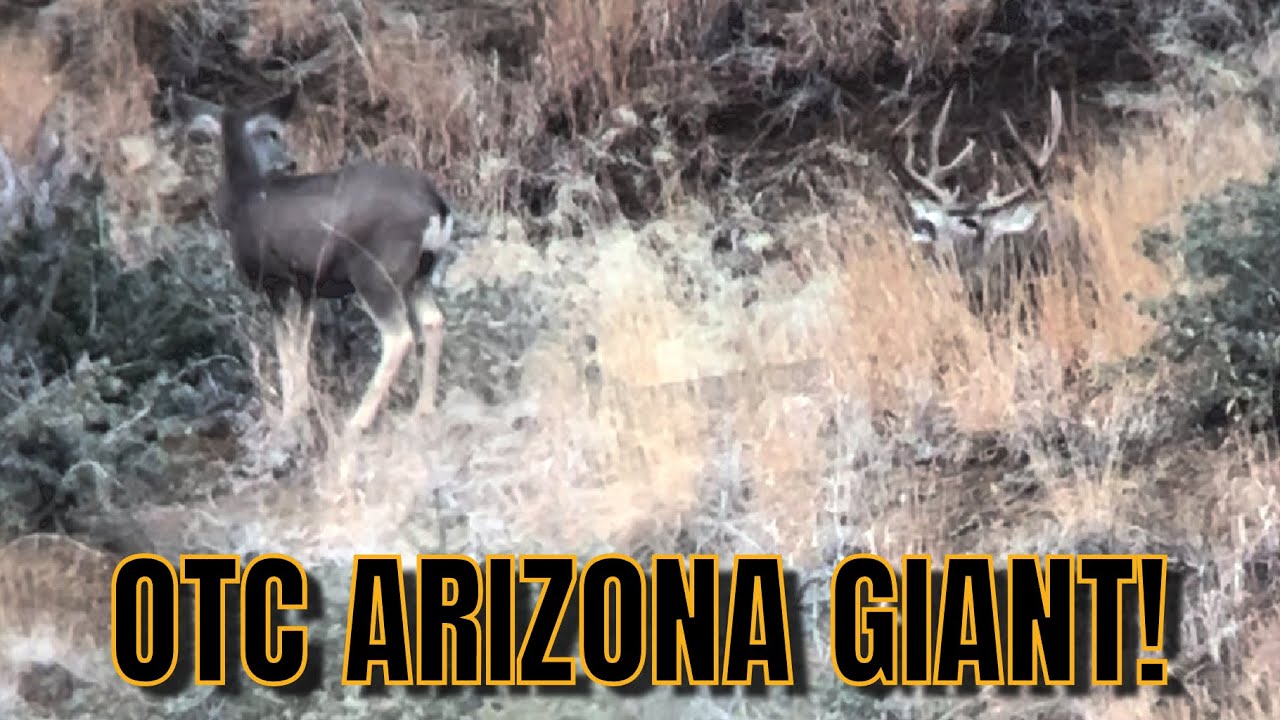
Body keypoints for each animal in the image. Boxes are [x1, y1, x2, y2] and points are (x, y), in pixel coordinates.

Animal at [168, 87, 459, 433]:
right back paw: (423, 409)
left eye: (274, 132)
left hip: (374, 271)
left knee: (398, 335)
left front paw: (289, 415)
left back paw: (358, 421)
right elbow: (302, 345)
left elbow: (285, 349)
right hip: (421, 273)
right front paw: (302, 405)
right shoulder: (309, 285)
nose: (289, 162)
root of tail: (437, 205)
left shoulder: (274, 280)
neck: (244, 199)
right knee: (433, 321)